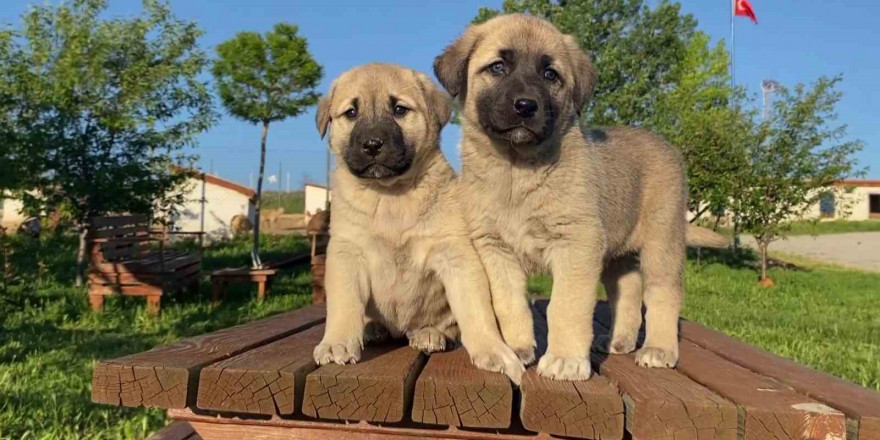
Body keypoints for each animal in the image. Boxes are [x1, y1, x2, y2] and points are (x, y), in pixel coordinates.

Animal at [312, 63, 524, 384]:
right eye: (351, 113)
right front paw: (336, 342)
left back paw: (429, 334)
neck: (390, 195)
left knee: (448, 326)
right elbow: (344, 305)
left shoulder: (456, 256)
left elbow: (476, 310)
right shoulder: (347, 253)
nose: (372, 144)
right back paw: (373, 328)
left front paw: (493, 350)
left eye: (400, 109)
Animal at [434, 15, 728, 380]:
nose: (525, 106)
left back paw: (658, 349)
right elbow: (509, 303)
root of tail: (667, 146)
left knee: (663, 295)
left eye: (550, 74)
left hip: (663, 242)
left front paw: (565, 359)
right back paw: (619, 340)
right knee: (628, 294)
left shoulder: (577, 243)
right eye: (498, 67)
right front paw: (516, 348)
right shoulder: (495, 248)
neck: (517, 171)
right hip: (619, 255)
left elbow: (567, 306)